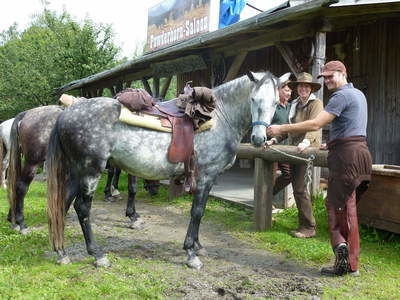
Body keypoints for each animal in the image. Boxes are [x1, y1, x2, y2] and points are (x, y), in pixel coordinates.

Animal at [47, 72, 290, 270]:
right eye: (253, 99)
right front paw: (191, 253)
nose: (258, 138)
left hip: (77, 173)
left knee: (63, 204)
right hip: (90, 171)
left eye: (275, 102)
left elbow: (200, 211)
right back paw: (97, 254)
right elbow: (197, 212)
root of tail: (66, 114)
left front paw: (198, 246)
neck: (220, 118)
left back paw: (61, 252)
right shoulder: (206, 176)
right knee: (82, 208)